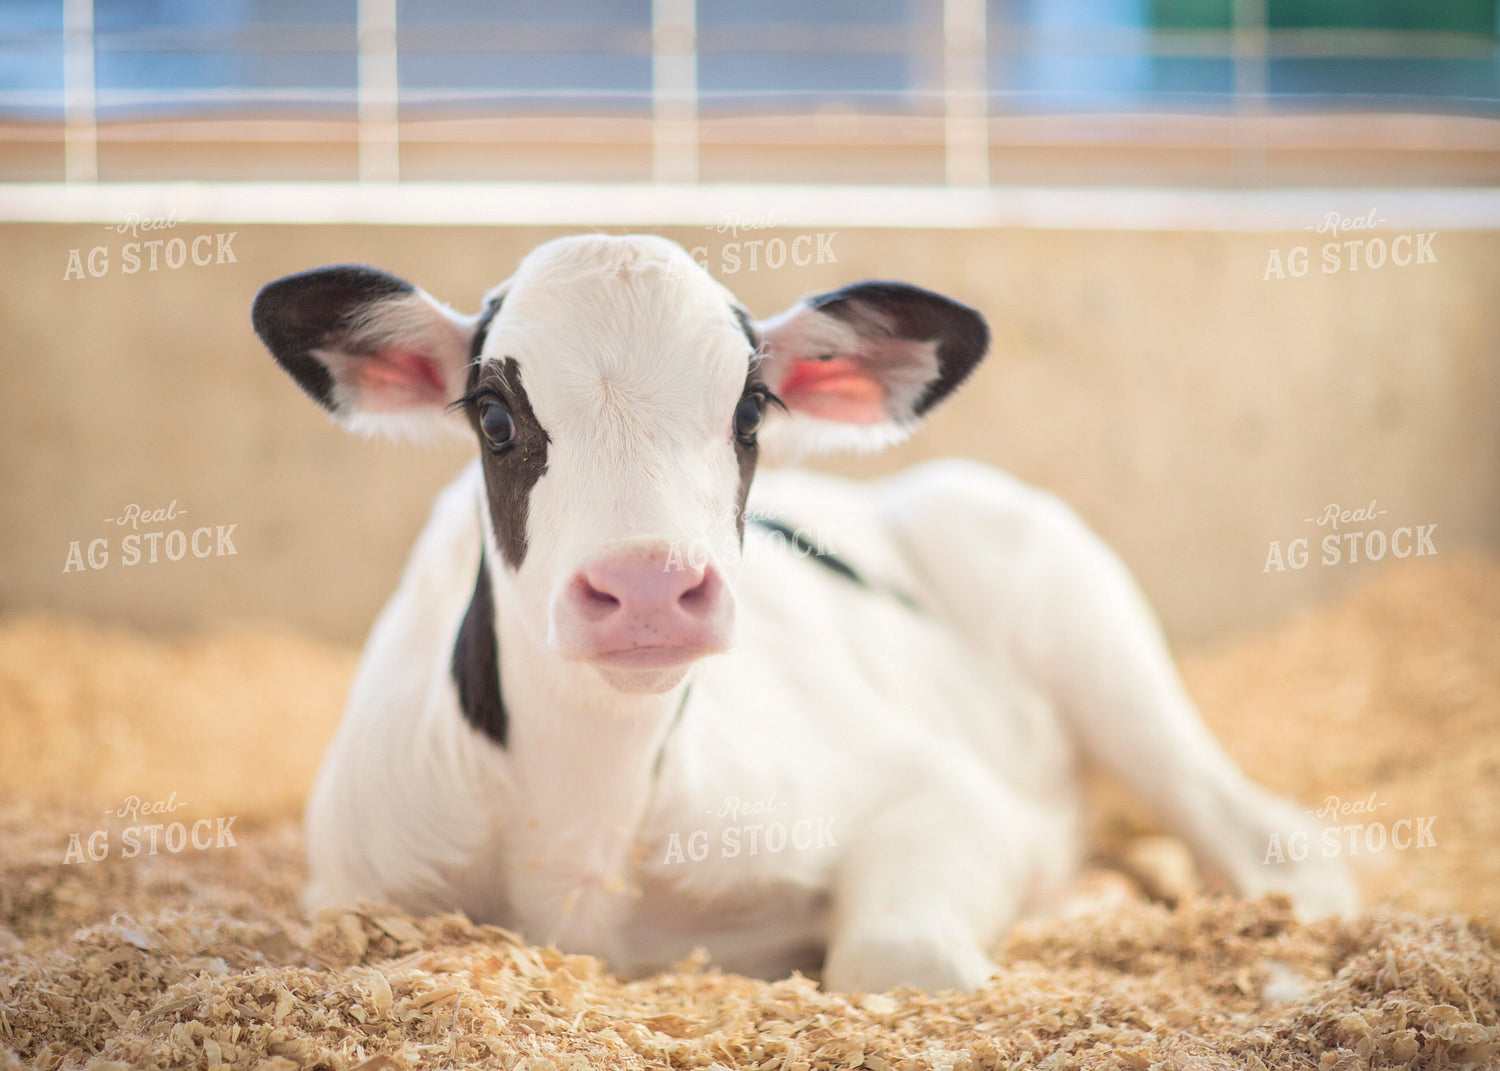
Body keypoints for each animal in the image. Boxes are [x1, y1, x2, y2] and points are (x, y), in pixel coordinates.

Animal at [251, 233, 1357, 994]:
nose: (648, 585)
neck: (585, 818)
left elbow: (902, 955)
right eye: (493, 414)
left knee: (1243, 824)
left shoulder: (937, 792)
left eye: (749, 410)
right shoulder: (354, 878)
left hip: (1086, 622)